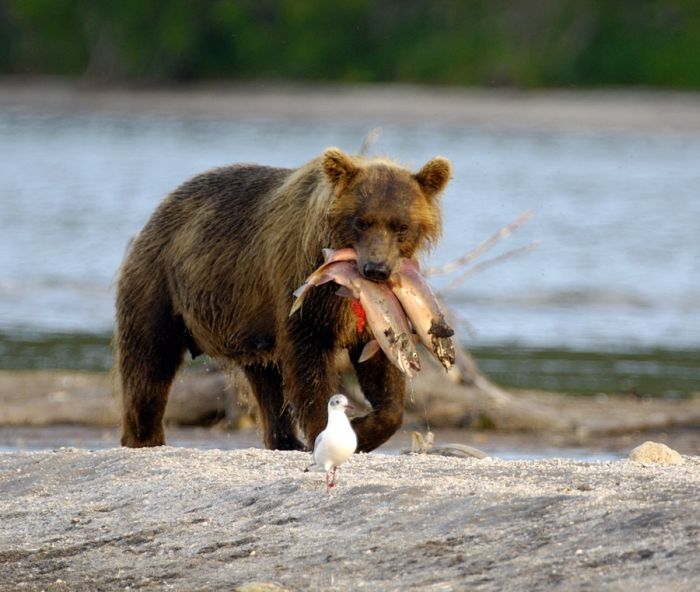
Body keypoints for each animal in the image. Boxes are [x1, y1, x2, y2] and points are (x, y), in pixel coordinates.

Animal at [115, 146, 452, 450]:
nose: (376, 269)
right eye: (361, 221)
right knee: (149, 363)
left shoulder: (374, 314)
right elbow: (309, 361)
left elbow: (382, 376)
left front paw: (364, 427)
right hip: (160, 284)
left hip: (250, 325)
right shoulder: (304, 284)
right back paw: (145, 437)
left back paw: (285, 440)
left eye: (401, 226)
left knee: (267, 383)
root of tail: (160, 209)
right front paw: (330, 431)